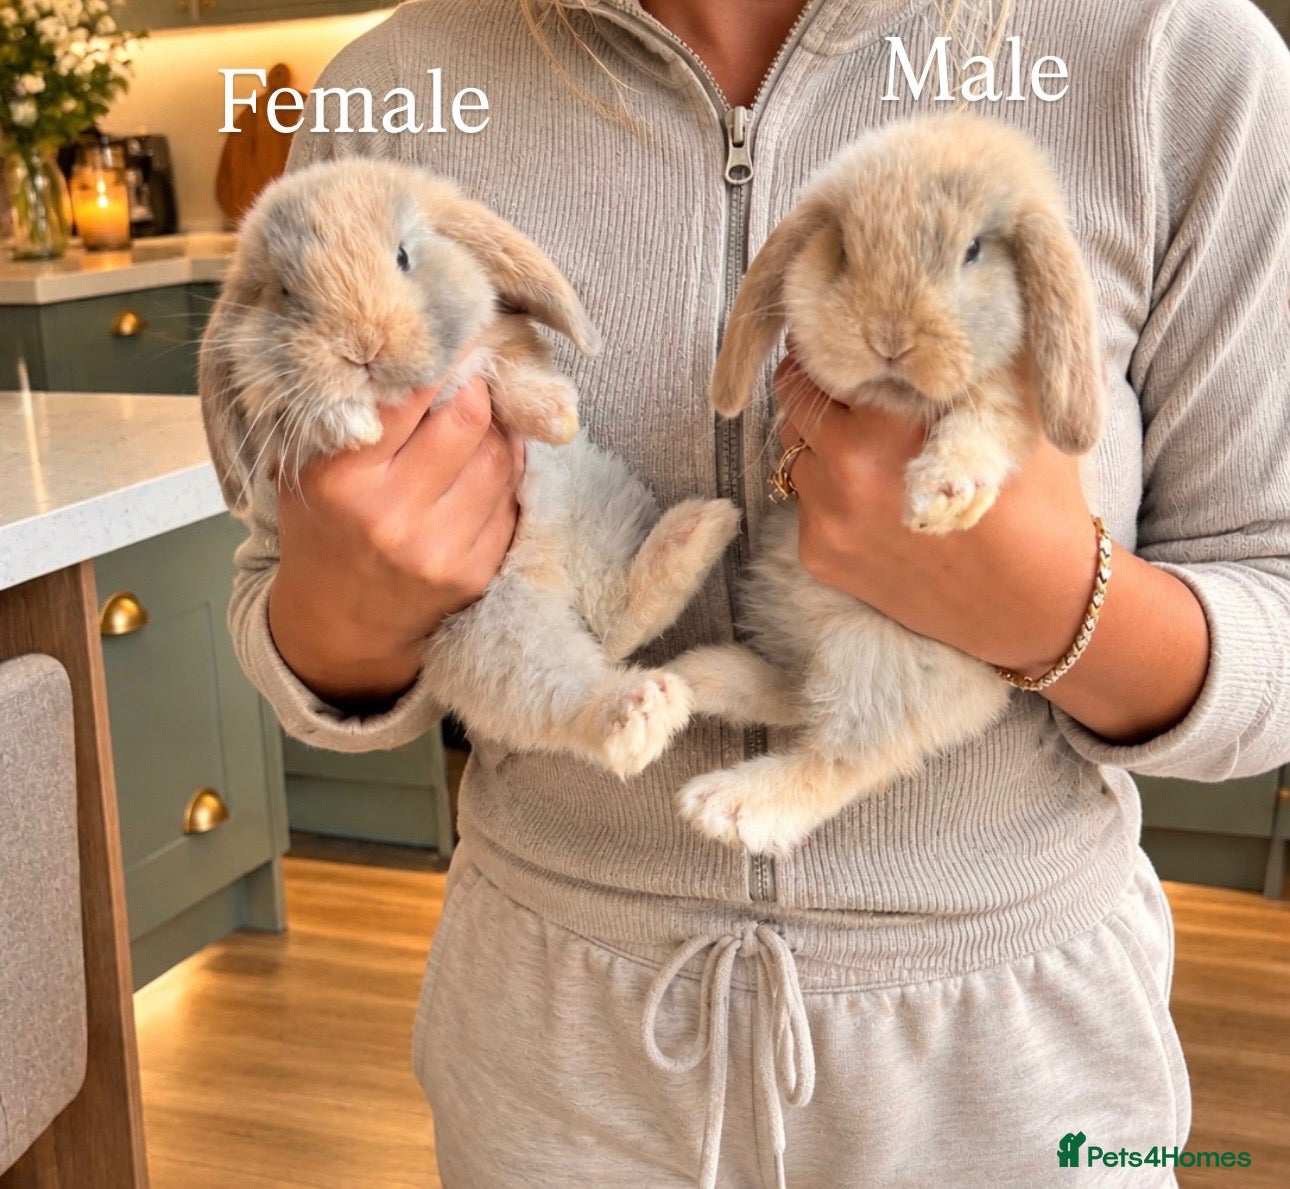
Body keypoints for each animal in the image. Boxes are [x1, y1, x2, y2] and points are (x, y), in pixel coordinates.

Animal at [200, 158, 740, 778]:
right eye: (285, 292)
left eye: (403, 256)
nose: (362, 346)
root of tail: (552, 578)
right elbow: (307, 419)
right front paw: (352, 423)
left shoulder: (496, 343)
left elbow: (507, 368)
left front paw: (556, 416)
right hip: (496, 641)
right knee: (579, 682)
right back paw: (643, 709)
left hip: (595, 503)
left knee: (615, 615)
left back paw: (701, 532)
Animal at [671, 112, 1106, 855]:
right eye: (842, 248)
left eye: (973, 251)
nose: (889, 338)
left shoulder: (1013, 401)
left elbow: (988, 420)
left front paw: (943, 496)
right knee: (798, 695)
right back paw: (702, 676)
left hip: (880, 658)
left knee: (840, 755)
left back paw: (729, 803)